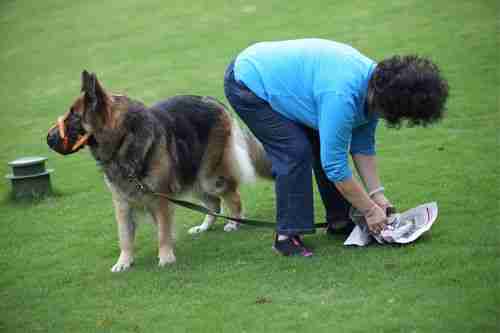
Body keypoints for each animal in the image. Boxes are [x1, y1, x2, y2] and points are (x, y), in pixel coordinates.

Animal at [47, 71, 270, 272]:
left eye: (73, 116)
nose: (48, 139)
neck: (123, 139)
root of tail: (213, 101)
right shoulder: (122, 204)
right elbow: (125, 237)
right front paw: (124, 261)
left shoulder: (160, 199)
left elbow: (163, 232)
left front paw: (165, 256)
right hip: (192, 177)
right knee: (214, 204)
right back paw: (204, 226)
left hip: (208, 177)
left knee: (233, 197)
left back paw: (235, 222)